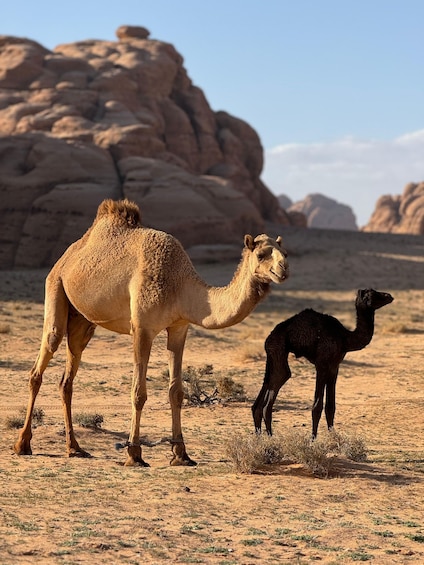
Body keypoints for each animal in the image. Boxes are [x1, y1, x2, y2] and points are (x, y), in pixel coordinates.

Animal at [14, 200, 290, 464]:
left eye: (285, 253)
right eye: (262, 254)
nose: (283, 269)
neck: (180, 285)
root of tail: (66, 256)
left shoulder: (179, 327)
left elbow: (176, 392)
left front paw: (181, 454)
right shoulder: (142, 327)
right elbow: (138, 393)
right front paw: (134, 454)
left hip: (83, 321)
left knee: (67, 377)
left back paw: (75, 448)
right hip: (55, 288)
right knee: (41, 362)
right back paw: (23, 445)